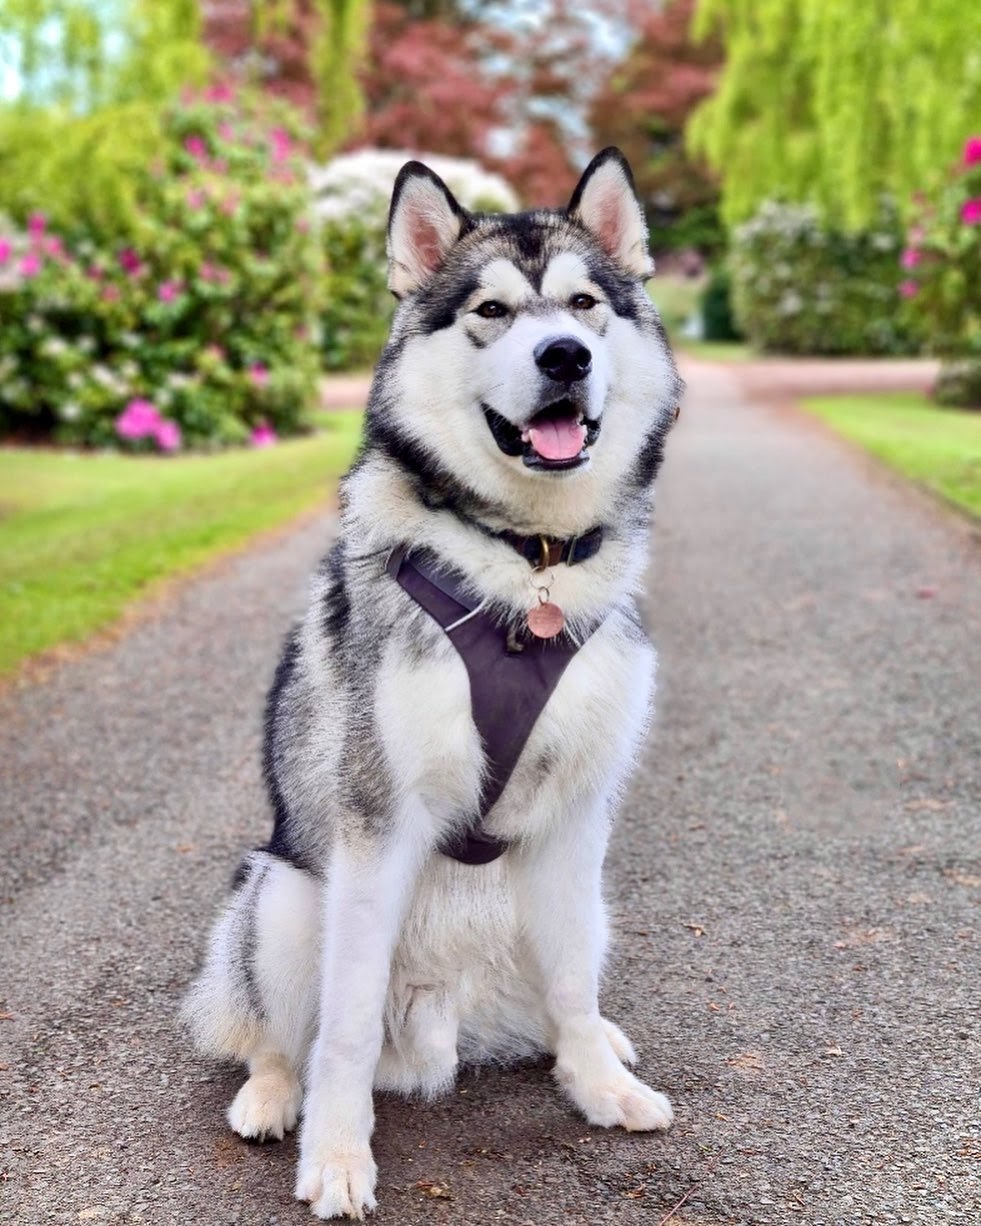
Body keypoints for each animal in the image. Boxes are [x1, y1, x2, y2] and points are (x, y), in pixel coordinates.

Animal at [187, 148, 686, 1221]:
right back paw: (270, 1096)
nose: (564, 359)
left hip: (586, 905)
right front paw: (337, 1156)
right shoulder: (377, 825)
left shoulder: (576, 820)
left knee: (564, 993)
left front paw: (599, 1085)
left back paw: (590, 1046)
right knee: (281, 1034)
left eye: (583, 305)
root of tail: (443, 1024)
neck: (529, 565)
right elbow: (337, 1031)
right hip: (284, 893)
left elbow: (574, 990)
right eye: (491, 311)